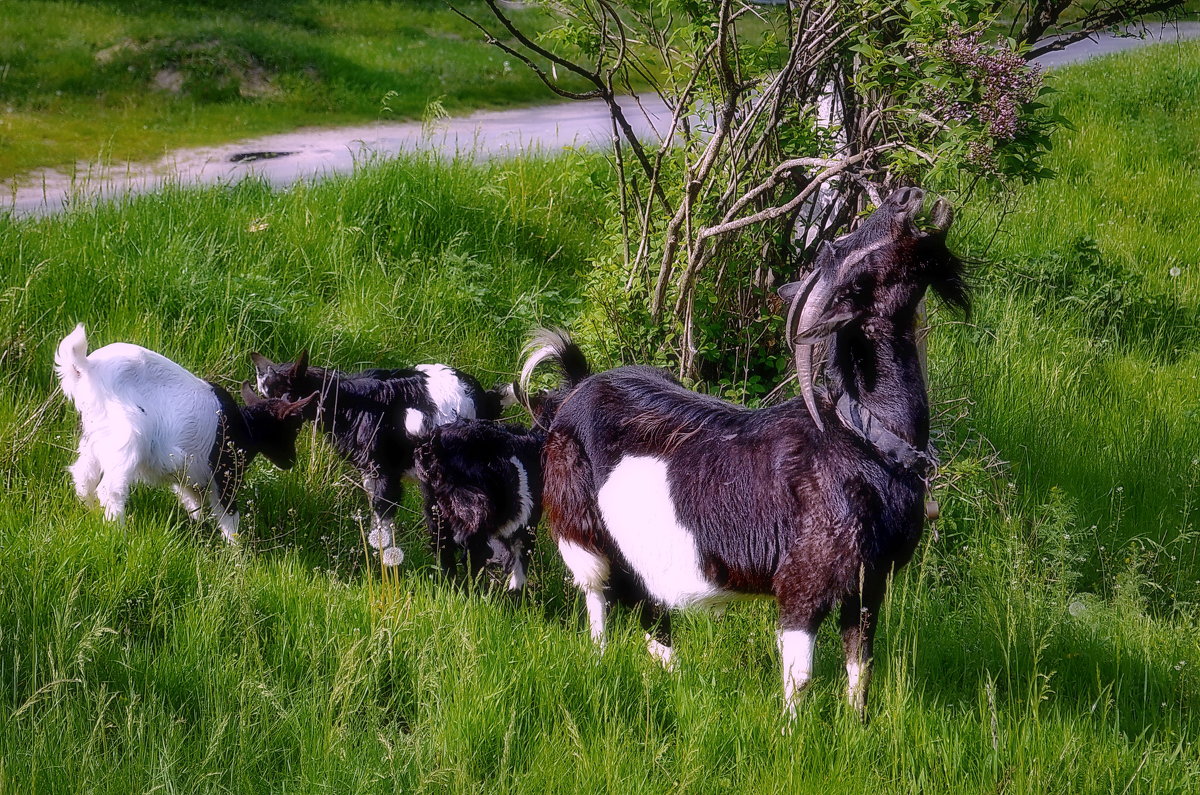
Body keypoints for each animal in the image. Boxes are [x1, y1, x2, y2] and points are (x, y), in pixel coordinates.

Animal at [55, 324, 319, 542]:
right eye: (294, 426)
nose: (291, 461)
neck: (244, 426)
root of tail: (87, 368)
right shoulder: (225, 474)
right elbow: (228, 516)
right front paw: (238, 556)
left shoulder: (192, 481)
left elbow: (195, 506)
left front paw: (200, 532)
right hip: (128, 437)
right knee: (110, 489)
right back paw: (118, 533)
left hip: (96, 436)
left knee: (83, 476)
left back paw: (91, 514)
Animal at [253, 353, 511, 564]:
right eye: (262, 395)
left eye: (287, 394)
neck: (351, 402)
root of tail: (484, 399)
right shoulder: (368, 471)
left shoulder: (384, 472)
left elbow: (382, 517)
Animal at [530, 189, 969, 720]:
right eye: (857, 272)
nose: (907, 197)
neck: (862, 440)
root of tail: (574, 389)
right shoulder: (803, 579)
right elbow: (800, 673)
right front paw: (792, 732)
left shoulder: (870, 582)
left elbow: (860, 664)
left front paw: (858, 725)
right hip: (579, 523)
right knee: (597, 591)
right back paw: (600, 660)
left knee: (649, 607)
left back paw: (675, 677)